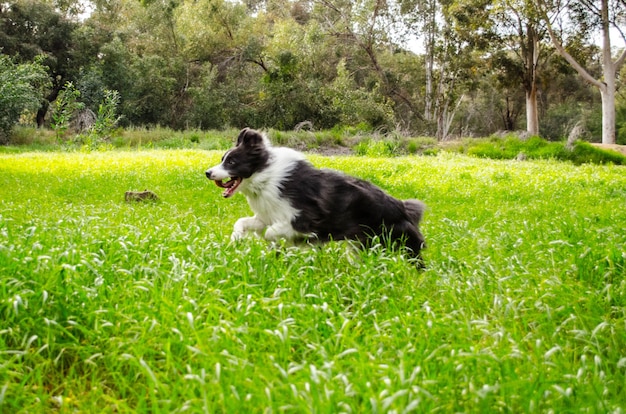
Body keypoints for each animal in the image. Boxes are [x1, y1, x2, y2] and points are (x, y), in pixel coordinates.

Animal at [205, 128, 424, 260]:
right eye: (222, 159)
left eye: (231, 162)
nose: (208, 173)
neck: (265, 177)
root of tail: (403, 208)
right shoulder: (267, 215)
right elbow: (243, 222)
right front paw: (236, 238)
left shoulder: (305, 219)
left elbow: (271, 232)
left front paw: (283, 245)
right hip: (361, 244)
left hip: (396, 240)